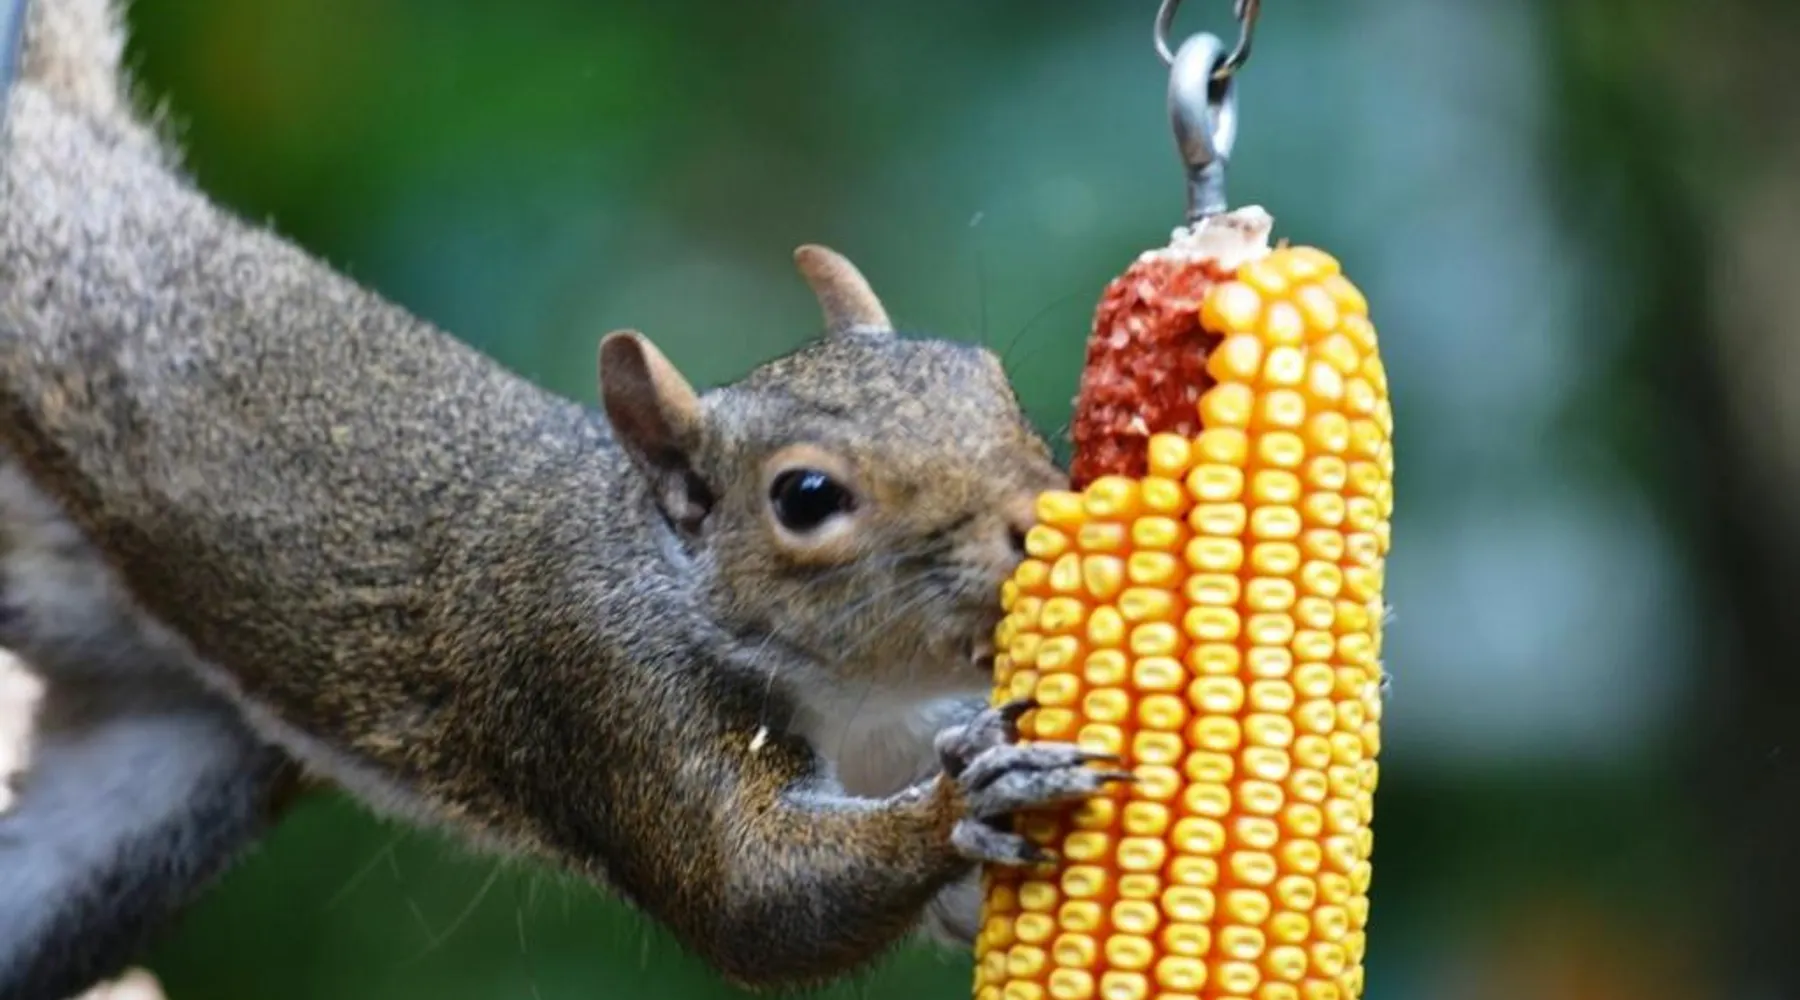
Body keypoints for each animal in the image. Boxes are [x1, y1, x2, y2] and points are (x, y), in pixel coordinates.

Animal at [0, 1, 1125, 998]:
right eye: (805, 495)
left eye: (987, 375)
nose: (1041, 520)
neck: (855, 691)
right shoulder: (607, 690)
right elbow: (756, 899)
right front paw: (972, 795)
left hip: (156, 785)